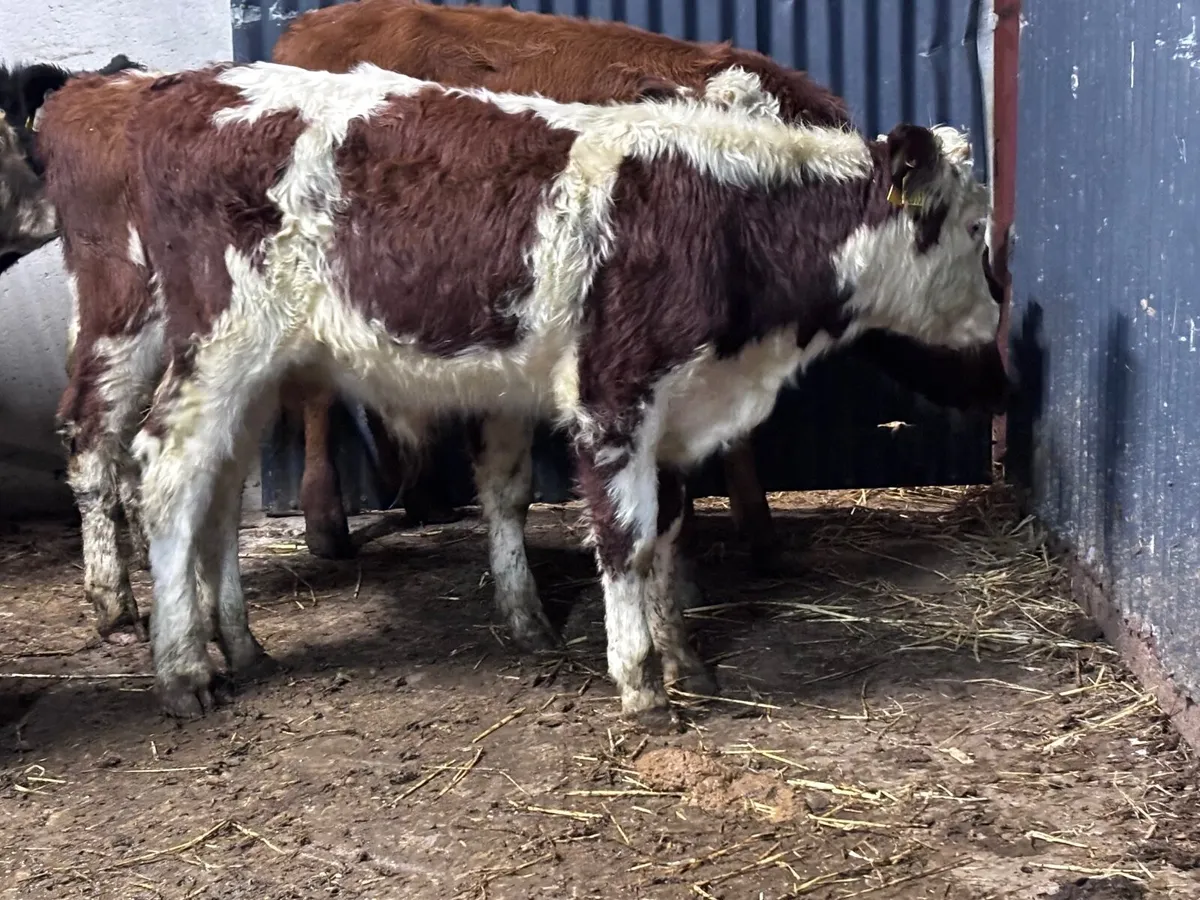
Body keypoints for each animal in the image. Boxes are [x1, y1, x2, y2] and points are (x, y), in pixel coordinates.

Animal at [39, 61, 1000, 724]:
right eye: (972, 225)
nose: (997, 327)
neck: (720, 218)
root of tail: (186, 85)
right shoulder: (613, 397)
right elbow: (626, 539)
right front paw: (641, 685)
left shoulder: (677, 408)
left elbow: (669, 533)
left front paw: (685, 660)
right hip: (215, 343)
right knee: (163, 473)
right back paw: (180, 666)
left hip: (254, 372)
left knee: (218, 489)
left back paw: (236, 644)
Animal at [269, 0, 1012, 585]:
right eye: (973, 251)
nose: (1003, 384)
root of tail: (310, 28)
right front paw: (756, 535)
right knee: (314, 396)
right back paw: (327, 522)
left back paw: (420, 497)